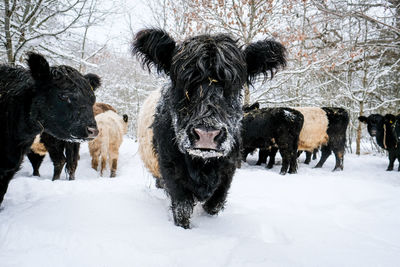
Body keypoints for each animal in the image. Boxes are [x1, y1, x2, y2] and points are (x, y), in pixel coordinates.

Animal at [133, 29, 286, 230]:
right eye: (184, 83)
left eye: (234, 85)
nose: (206, 134)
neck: (203, 166)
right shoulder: (170, 169)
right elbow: (182, 209)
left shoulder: (228, 170)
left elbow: (215, 203)